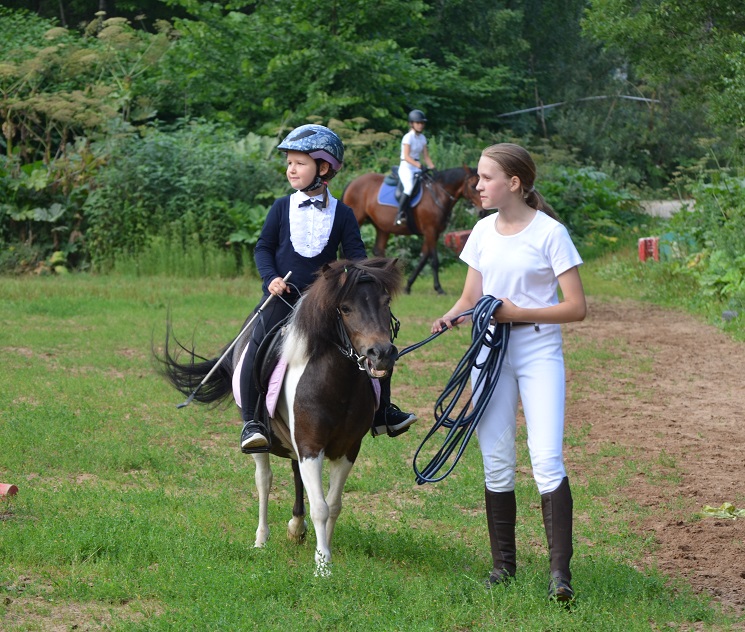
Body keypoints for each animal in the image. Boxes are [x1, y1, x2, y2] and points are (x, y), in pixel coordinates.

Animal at [157, 258, 403, 576]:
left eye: (386, 302)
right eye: (346, 308)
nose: (381, 353)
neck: (337, 385)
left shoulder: (348, 449)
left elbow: (333, 504)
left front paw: (324, 549)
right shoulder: (310, 445)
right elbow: (321, 507)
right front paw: (323, 566)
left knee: (296, 475)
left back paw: (297, 528)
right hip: (264, 443)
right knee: (264, 480)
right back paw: (261, 540)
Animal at [342, 166, 482, 295]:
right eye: (473, 186)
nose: (482, 211)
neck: (438, 194)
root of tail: (352, 182)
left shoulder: (433, 233)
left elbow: (423, 259)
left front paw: (408, 286)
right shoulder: (430, 231)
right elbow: (434, 261)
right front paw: (439, 288)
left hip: (382, 228)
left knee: (378, 251)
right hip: (357, 219)